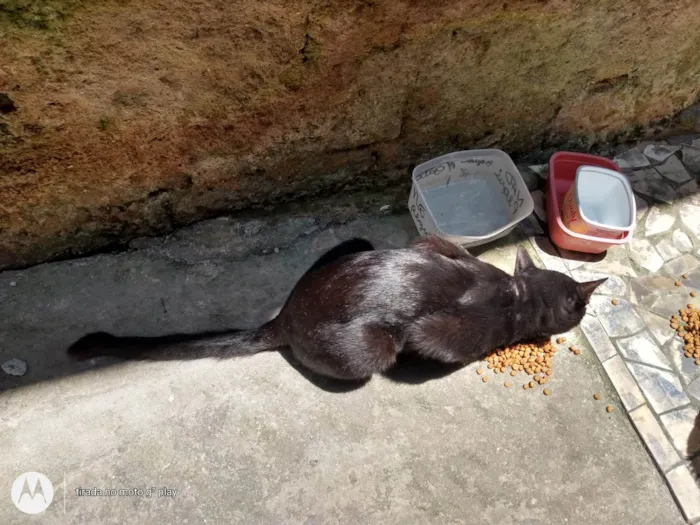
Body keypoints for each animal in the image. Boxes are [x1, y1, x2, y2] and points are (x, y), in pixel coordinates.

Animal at [69, 235, 608, 378]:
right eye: (580, 310)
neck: (515, 294)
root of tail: (283, 317)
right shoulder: (445, 334)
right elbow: (432, 340)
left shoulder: (436, 243)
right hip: (371, 349)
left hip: (353, 245)